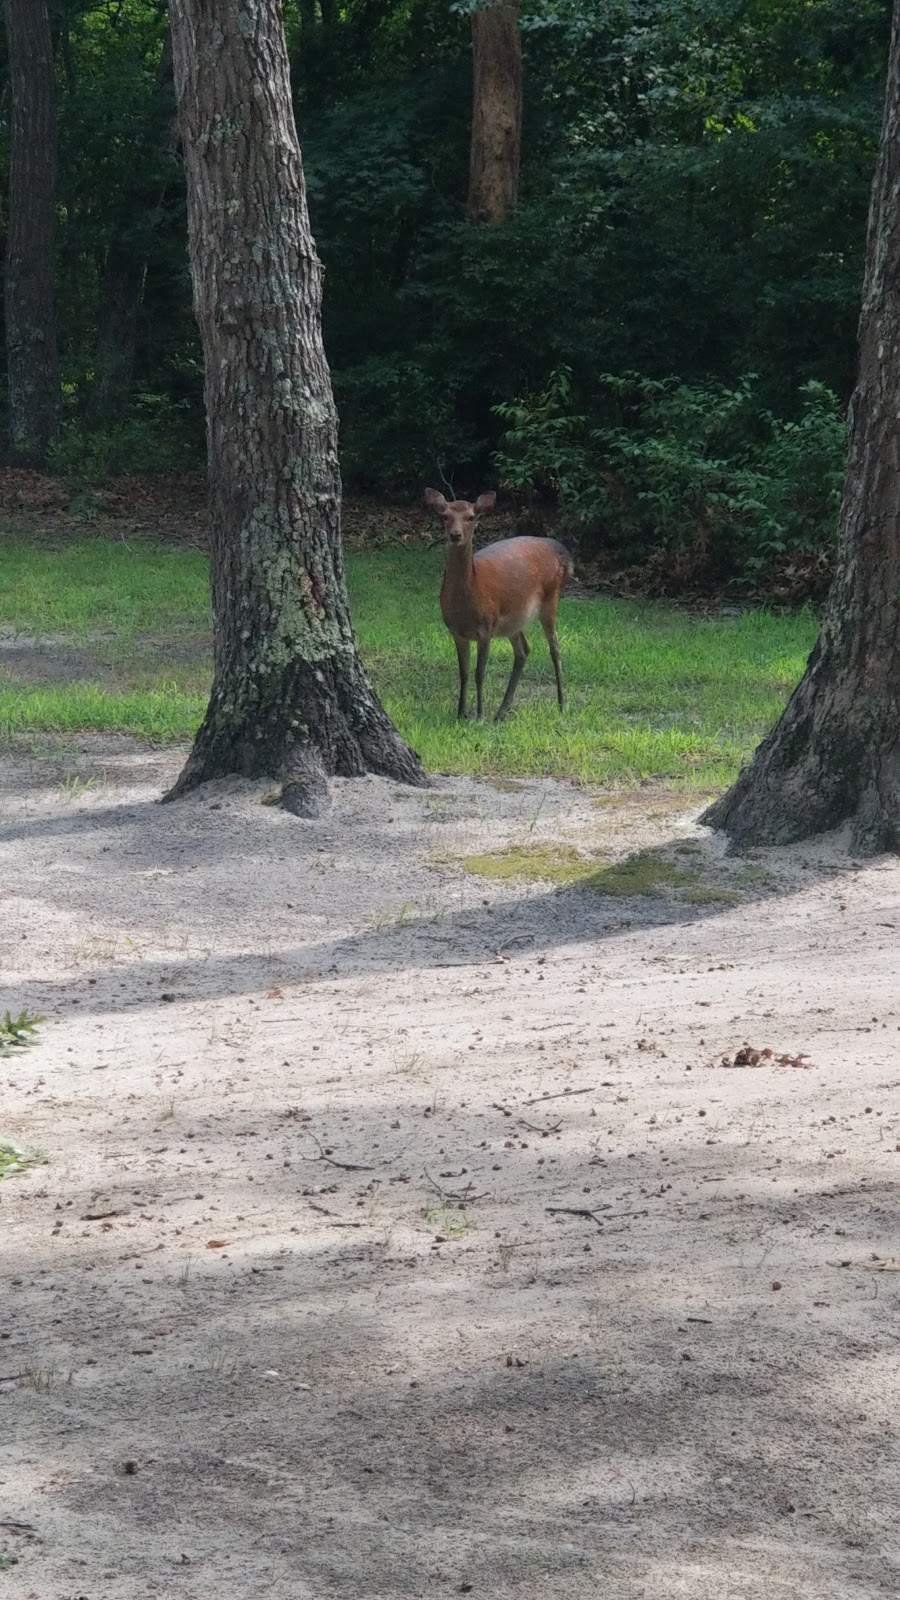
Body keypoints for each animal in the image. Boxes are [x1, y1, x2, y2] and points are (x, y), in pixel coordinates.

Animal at [422, 480, 573, 720]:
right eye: (444, 516)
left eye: (471, 516)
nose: (455, 535)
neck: (467, 603)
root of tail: (561, 551)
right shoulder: (456, 631)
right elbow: (463, 672)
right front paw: (461, 713)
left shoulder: (486, 626)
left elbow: (479, 672)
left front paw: (479, 715)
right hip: (514, 620)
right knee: (523, 651)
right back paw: (502, 710)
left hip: (551, 598)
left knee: (555, 649)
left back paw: (561, 704)